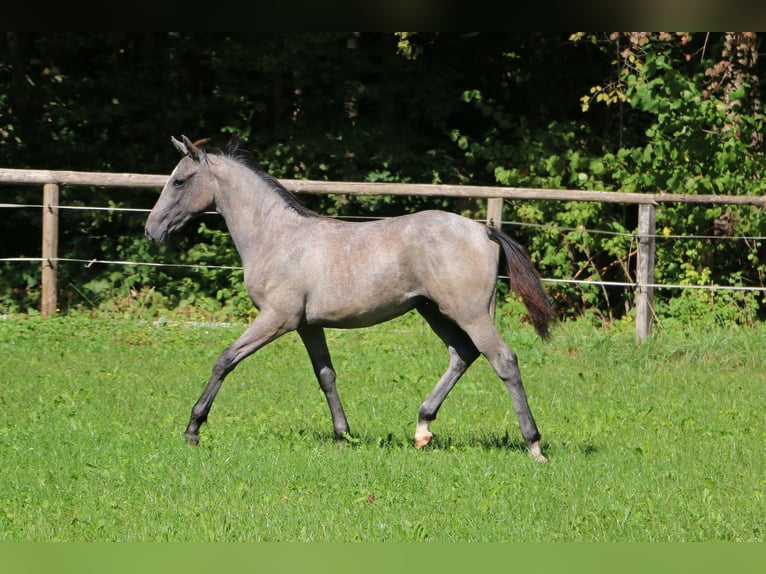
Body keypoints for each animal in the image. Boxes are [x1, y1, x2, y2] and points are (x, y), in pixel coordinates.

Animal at [144, 135, 556, 464]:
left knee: (502, 359)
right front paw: (344, 434)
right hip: (434, 311)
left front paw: (193, 429)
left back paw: (534, 445)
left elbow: (225, 360)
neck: (277, 237)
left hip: (469, 313)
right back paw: (422, 426)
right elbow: (326, 376)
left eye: (179, 180)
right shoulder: (308, 327)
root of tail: (483, 231)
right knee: (463, 354)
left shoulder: (276, 319)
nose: (151, 230)